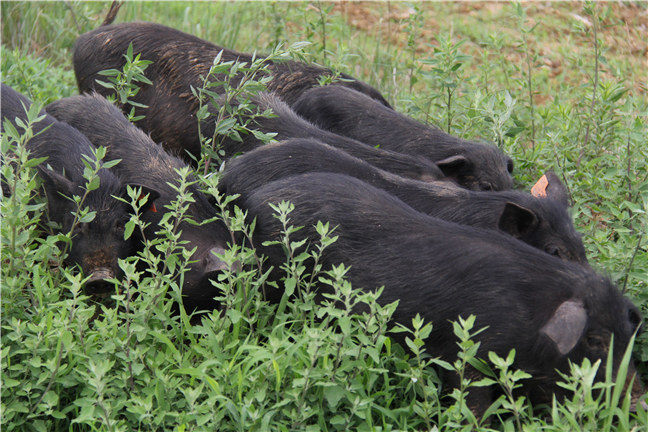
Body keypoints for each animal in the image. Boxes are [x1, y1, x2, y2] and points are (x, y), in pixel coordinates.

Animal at [242, 172, 644, 416]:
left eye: (628, 335)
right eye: (595, 340)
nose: (637, 402)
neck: (533, 314)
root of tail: (257, 201)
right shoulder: (465, 354)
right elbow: (473, 403)